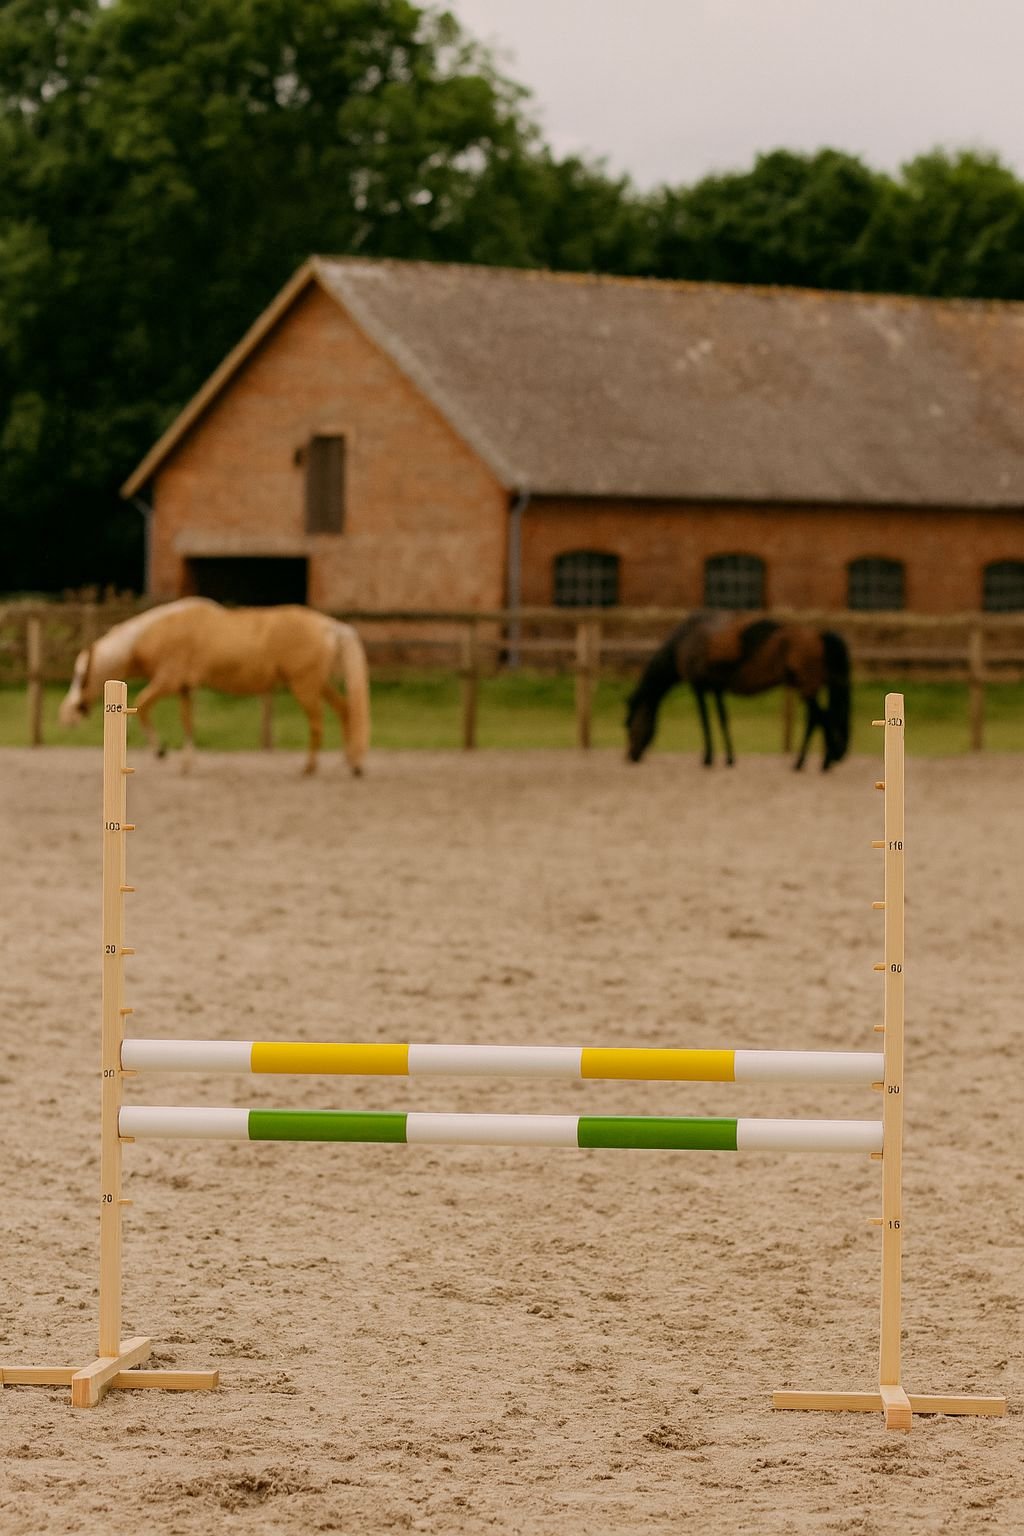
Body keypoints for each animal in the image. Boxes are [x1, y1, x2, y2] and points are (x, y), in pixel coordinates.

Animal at [58, 598, 370, 775]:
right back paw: (350, 762)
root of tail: (330, 625)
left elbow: (144, 705)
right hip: (318, 684)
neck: (161, 632)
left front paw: (160, 750)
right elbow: (187, 722)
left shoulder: (169, 680)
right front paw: (187, 763)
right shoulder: (185, 688)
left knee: (317, 722)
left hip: (304, 686)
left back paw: (310, 767)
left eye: (80, 675)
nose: (66, 714)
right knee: (345, 710)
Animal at [625, 612, 851, 770]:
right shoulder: (716, 687)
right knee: (818, 718)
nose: (630, 756)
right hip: (804, 685)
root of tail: (820, 634)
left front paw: (708, 758)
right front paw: (729, 759)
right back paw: (814, 761)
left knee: (819, 718)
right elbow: (723, 719)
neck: (685, 640)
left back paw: (813, 762)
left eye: (627, 725)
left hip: (806, 686)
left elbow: (705, 722)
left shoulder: (699, 685)